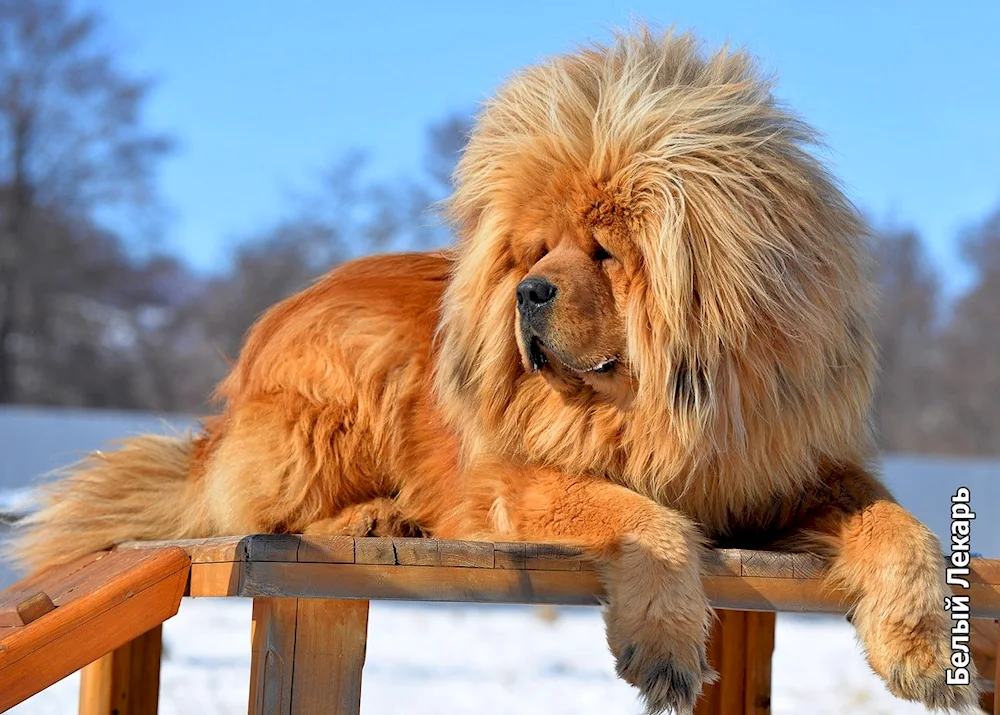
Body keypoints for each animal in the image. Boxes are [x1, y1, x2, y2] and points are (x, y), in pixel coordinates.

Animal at [9, 28, 976, 715]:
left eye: (603, 250)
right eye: (536, 249)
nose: (529, 291)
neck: (656, 409)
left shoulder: (793, 473)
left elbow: (904, 529)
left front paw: (924, 647)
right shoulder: (514, 478)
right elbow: (643, 516)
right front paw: (664, 645)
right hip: (340, 394)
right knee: (255, 508)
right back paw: (374, 514)